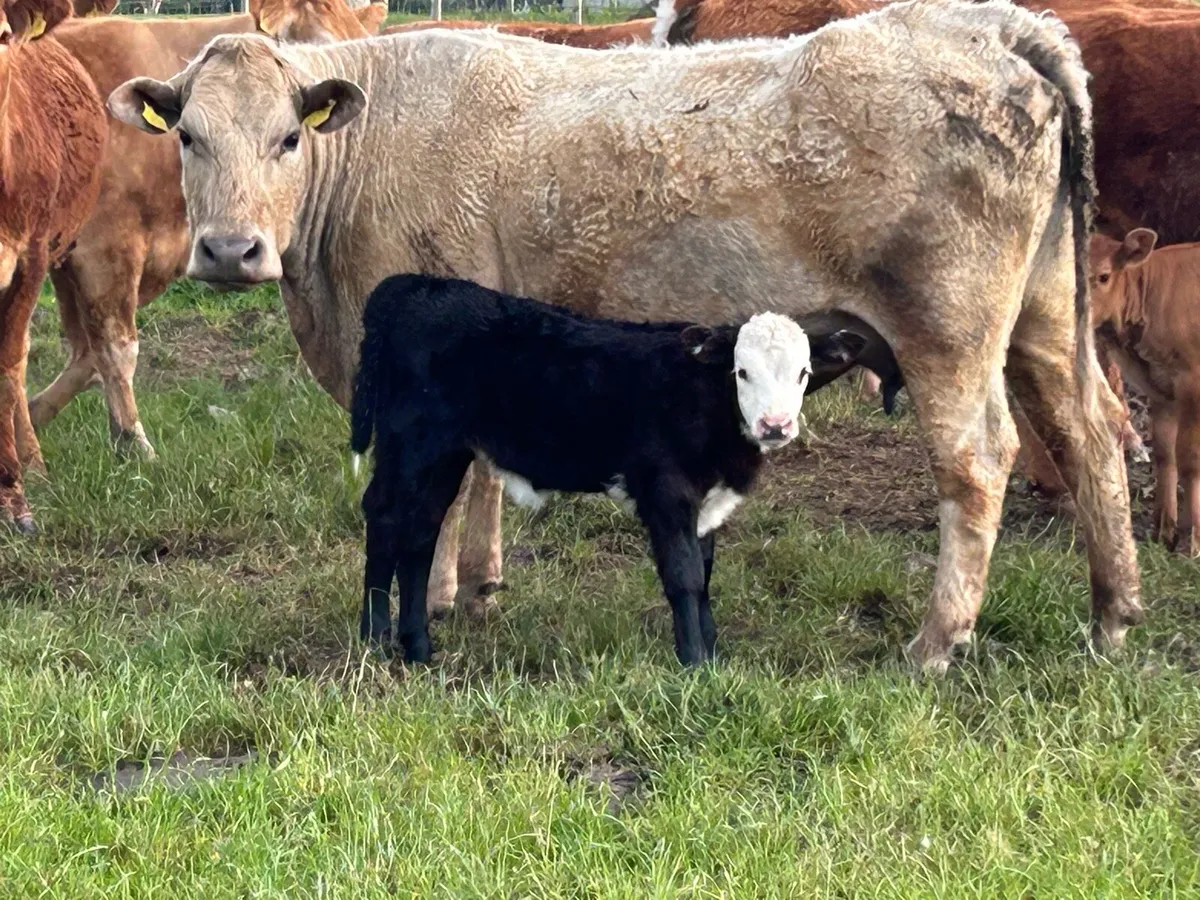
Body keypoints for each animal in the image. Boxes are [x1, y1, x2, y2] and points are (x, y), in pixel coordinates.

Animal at [351, 275, 876, 665]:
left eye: (803, 373)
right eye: (742, 372)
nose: (775, 425)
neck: (705, 398)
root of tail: (411, 285)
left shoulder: (705, 500)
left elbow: (705, 574)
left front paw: (713, 654)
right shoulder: (666, 490)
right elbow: (685, 574)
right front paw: (695, 663)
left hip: (443, 452)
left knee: (418, 531)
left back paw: (410, 644)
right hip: (414, 443)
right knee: (389, 518)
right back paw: (382, 640)